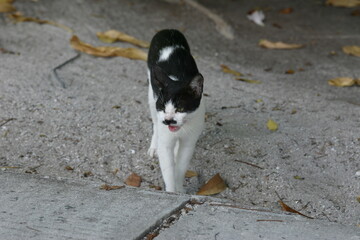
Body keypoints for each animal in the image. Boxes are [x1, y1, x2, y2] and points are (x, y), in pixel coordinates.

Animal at [145, 29, 204, 192]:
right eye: (163, 108)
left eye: (180, 108)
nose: (168, 120)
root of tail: (169, 30)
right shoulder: (165, 141)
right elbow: (168, 168)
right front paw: (171, 191)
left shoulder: (189, 141)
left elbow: (181, 166)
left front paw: (180, 189)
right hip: (151, 95)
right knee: (155, 123)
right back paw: (154, 146)